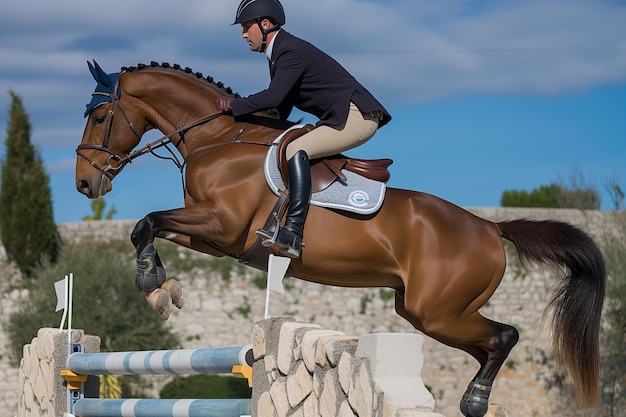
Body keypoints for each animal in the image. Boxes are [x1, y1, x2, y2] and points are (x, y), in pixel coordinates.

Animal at [74, 61, 604, 416]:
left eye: (99, 119)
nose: (84, 184)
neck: (218, 139)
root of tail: (491, 227)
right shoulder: (214, 238)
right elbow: (150, 226)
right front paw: (163, 286)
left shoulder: (222, 224)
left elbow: (146, 221)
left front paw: (152, 285)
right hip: (428, 312)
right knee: (488, 345)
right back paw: (476, 398)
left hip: (439, 311)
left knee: (504, 336)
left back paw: (474, 400)